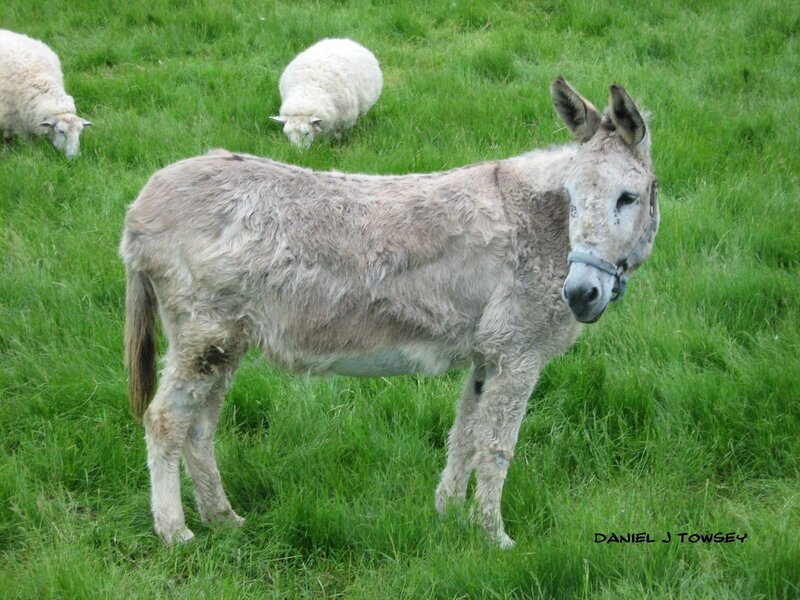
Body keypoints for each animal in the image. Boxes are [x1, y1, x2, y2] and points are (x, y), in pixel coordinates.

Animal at [0, 29, 91, 159]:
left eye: (80, 131)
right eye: (61, 131)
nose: (74, 157)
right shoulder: (9, 114)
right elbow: (8, 137)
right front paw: (6, 152)